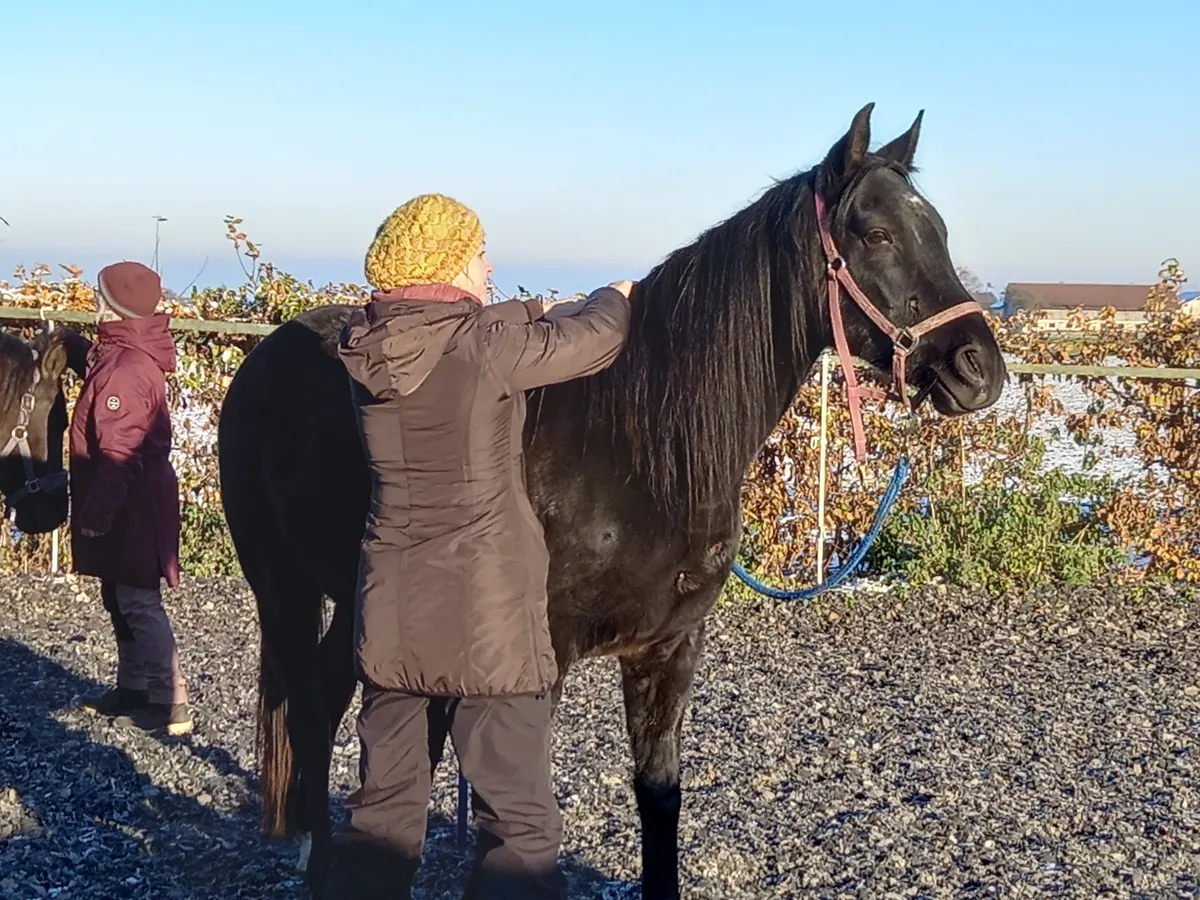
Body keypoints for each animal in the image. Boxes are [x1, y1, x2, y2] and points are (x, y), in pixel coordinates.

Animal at [216, 102, 1009, 898]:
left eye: (937, 229)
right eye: (875, 234)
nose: (981, 369)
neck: (641, 451)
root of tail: (268, 353)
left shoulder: (669, 649)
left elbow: (658, 798)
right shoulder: (541, 665)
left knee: (328, 697)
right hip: (282, 590)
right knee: (307, 705)